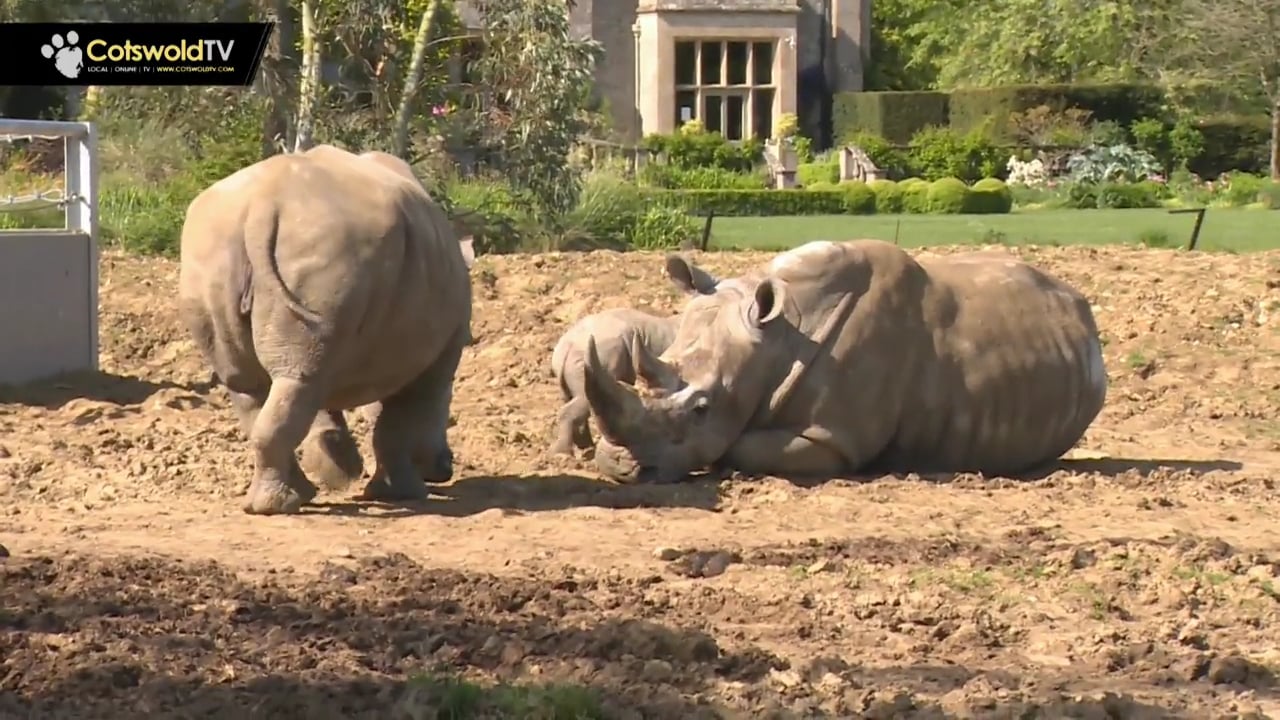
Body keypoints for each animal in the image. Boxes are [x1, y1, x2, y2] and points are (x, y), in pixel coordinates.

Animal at [180, 142, 476, 512]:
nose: (445, 469)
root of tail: (263, 207)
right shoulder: (436, 356)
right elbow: (400, 422)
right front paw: (401, 494)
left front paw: (341, 470)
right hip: (328, 245)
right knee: (293, 381)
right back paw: (280, 505)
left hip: (215, 251)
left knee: (253, 384)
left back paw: (282, 499)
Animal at [545, 303, 675, 453]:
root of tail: (566, 346)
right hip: (601, 354)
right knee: (586, 397)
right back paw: (563, 454)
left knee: (573, 397)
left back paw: (586, 450)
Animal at [586, 237, 1105, 481]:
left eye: (701, 409)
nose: (617, 465)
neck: (779, 337)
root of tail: (1082, 310)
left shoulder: (835, 438)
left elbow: (739, 445)